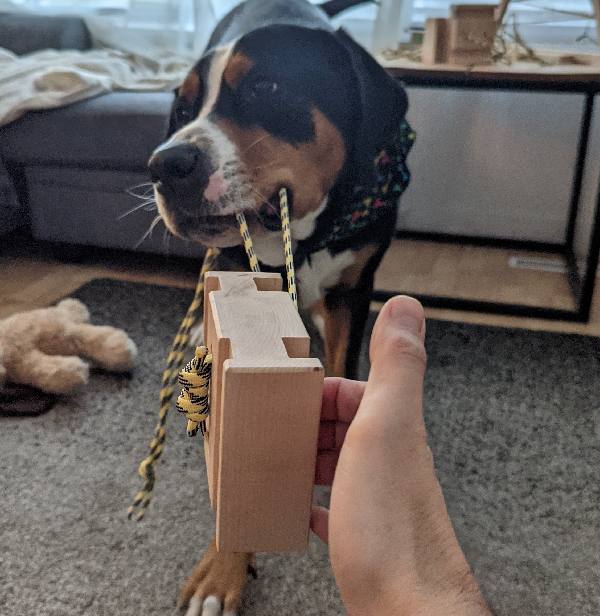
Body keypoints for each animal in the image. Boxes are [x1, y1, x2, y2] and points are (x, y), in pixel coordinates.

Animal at [148, 1, 414, 612]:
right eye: (181, 109)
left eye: (266, 87)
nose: (166, 164)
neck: (307, 236)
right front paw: (224, 567)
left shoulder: (352, 291)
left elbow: (338, 363)